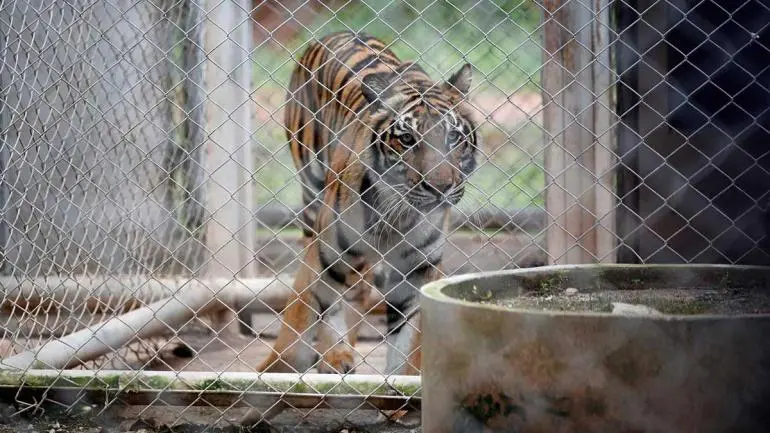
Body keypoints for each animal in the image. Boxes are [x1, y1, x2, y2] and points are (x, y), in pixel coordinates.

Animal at [256, 31, 478, 376]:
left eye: (453, 138)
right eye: (407, 139)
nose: (440, 188)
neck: (398, 214)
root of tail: (337, 32)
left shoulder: (418, 269)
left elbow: (409, 341)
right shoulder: (327, 251)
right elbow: (313, 306)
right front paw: (302, 362)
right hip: (312, 197)